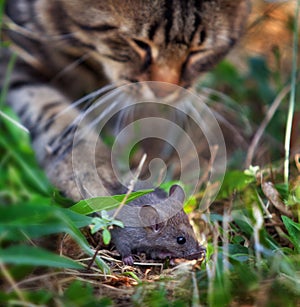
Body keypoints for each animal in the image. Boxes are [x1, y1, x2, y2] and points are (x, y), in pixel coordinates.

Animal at [0, 0, 248, 201]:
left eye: (198, 52)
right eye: (139, 43)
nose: (163, 91)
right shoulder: (15, 53)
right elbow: (54, 113)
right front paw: (91, 169)